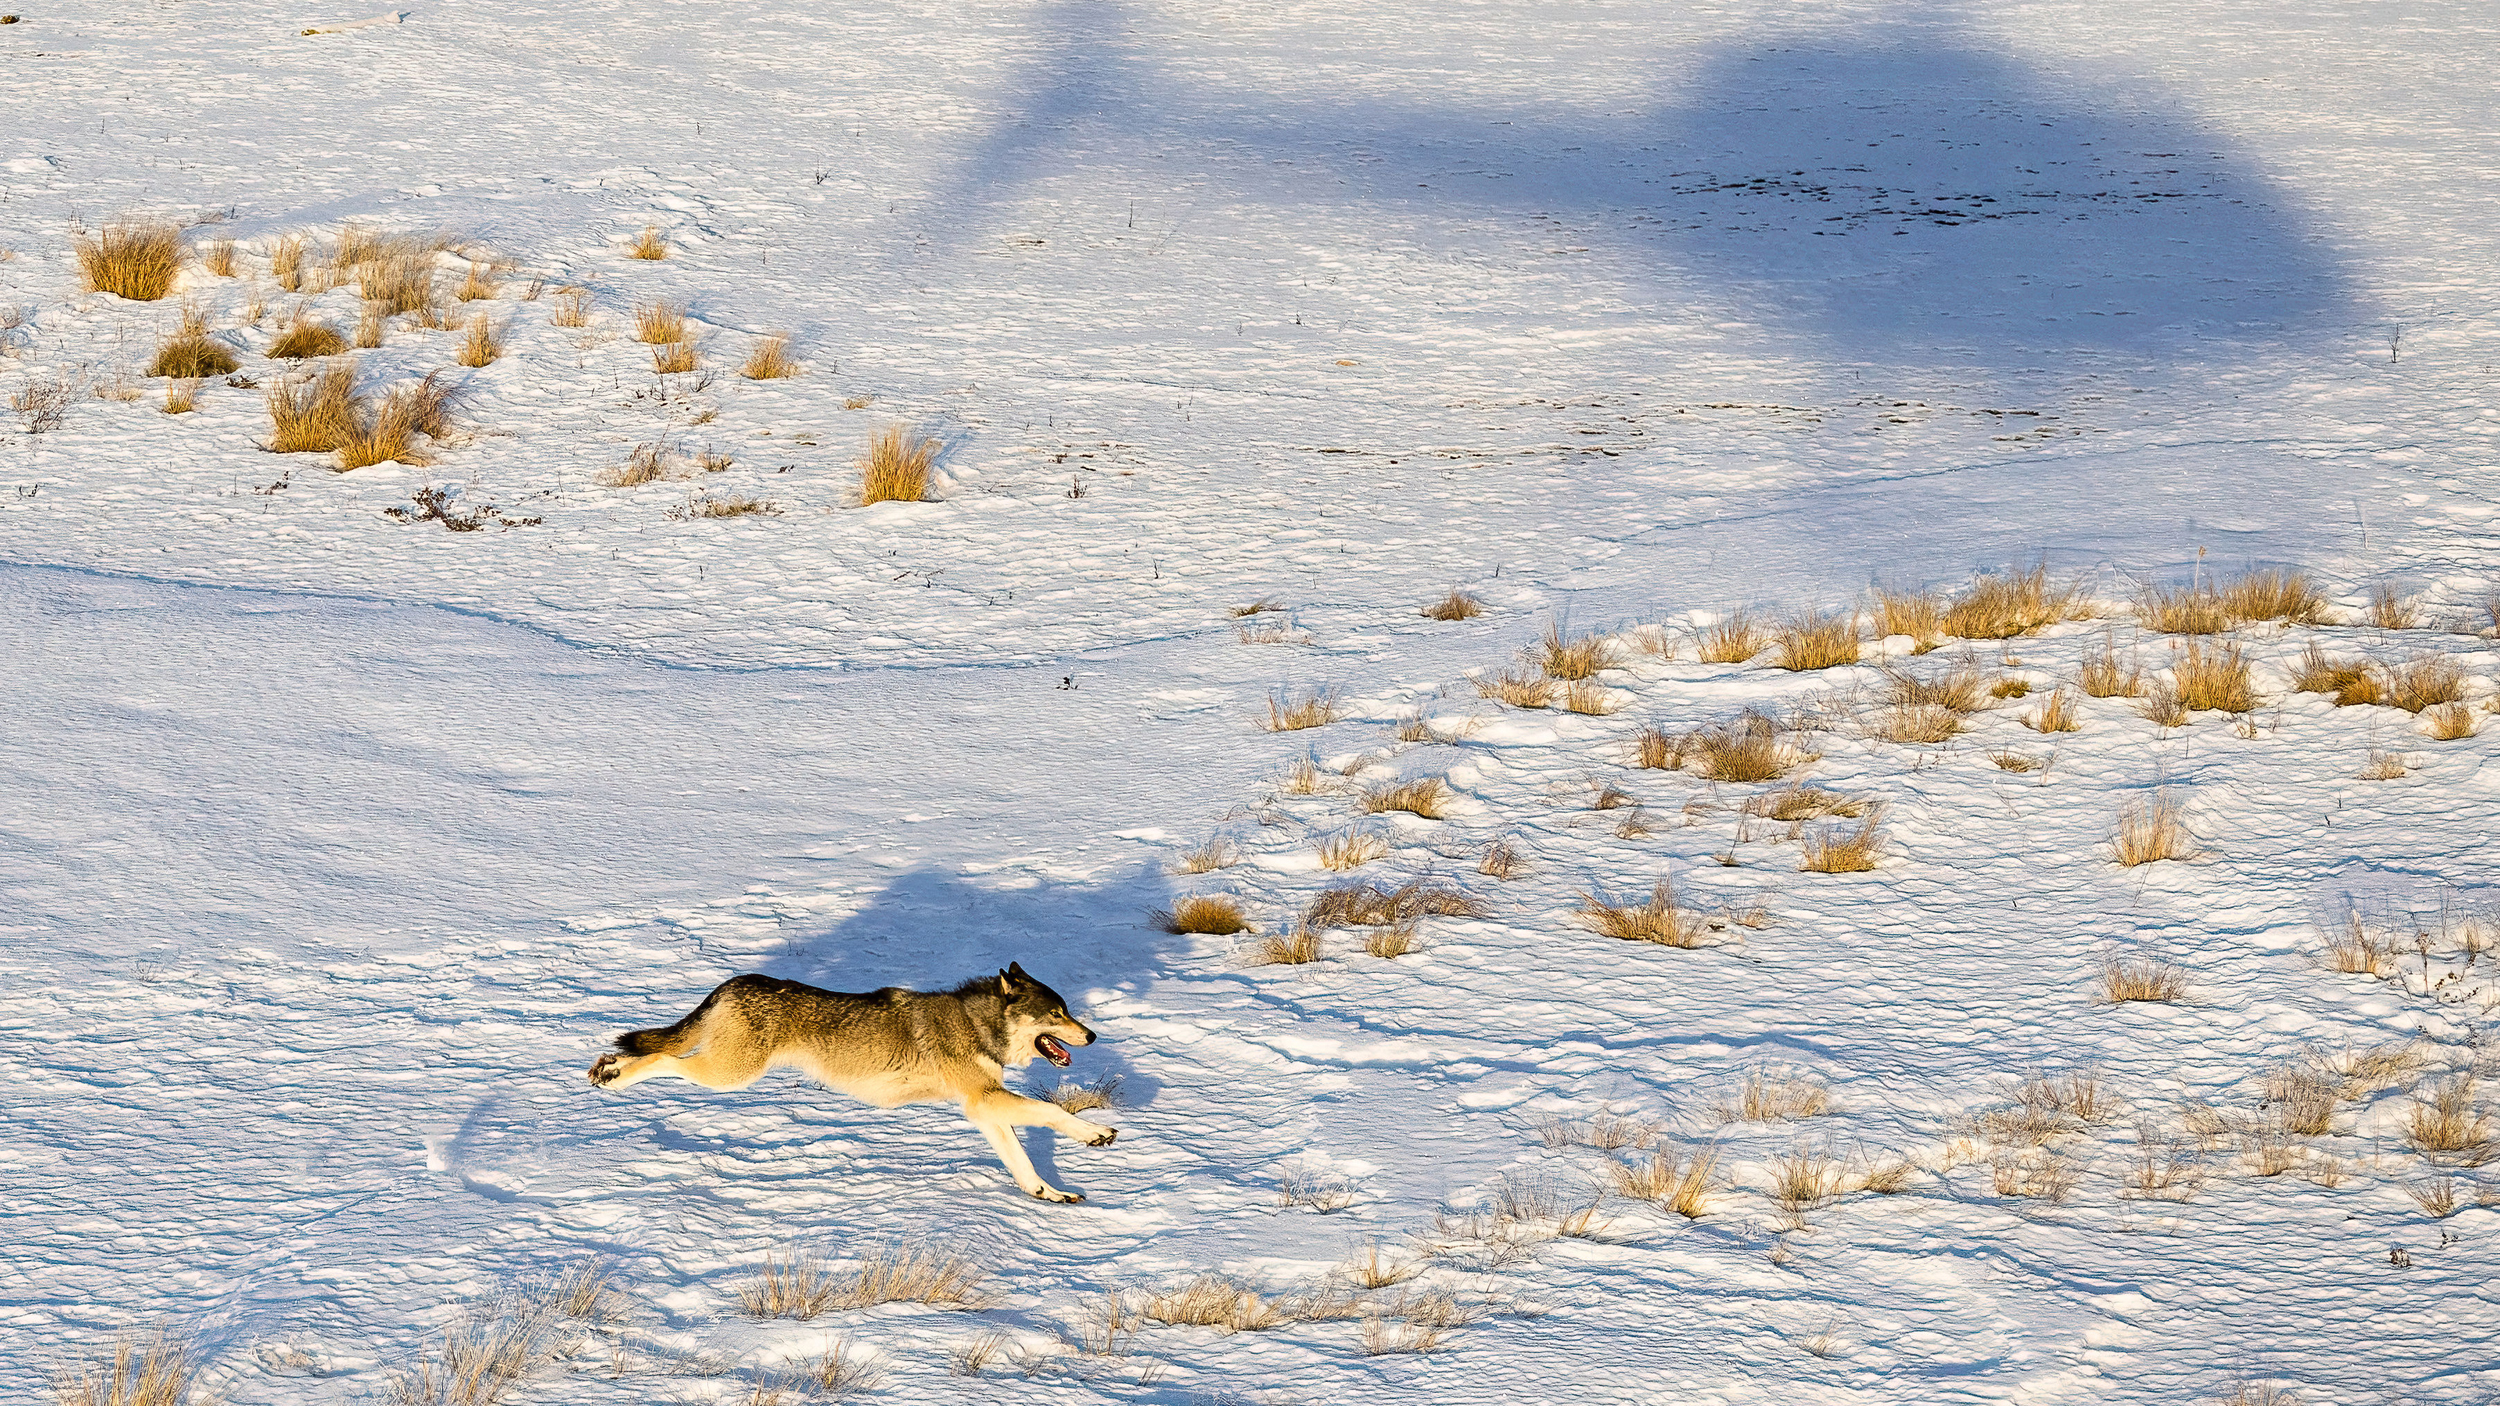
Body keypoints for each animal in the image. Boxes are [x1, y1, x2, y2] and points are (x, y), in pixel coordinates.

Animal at [588, 963, 1118, 1202]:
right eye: (1057, 1014)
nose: (1092, 1035)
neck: (977, 1025)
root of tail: (735, 982)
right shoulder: (984, 1100)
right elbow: (1051, 1111)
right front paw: (1096, 1133)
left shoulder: (983, 1109)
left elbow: (1022, 1163)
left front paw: (1049, 1193)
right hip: (728, 1075)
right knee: (660, 1058)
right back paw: (612, 1075)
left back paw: (606, 1067)